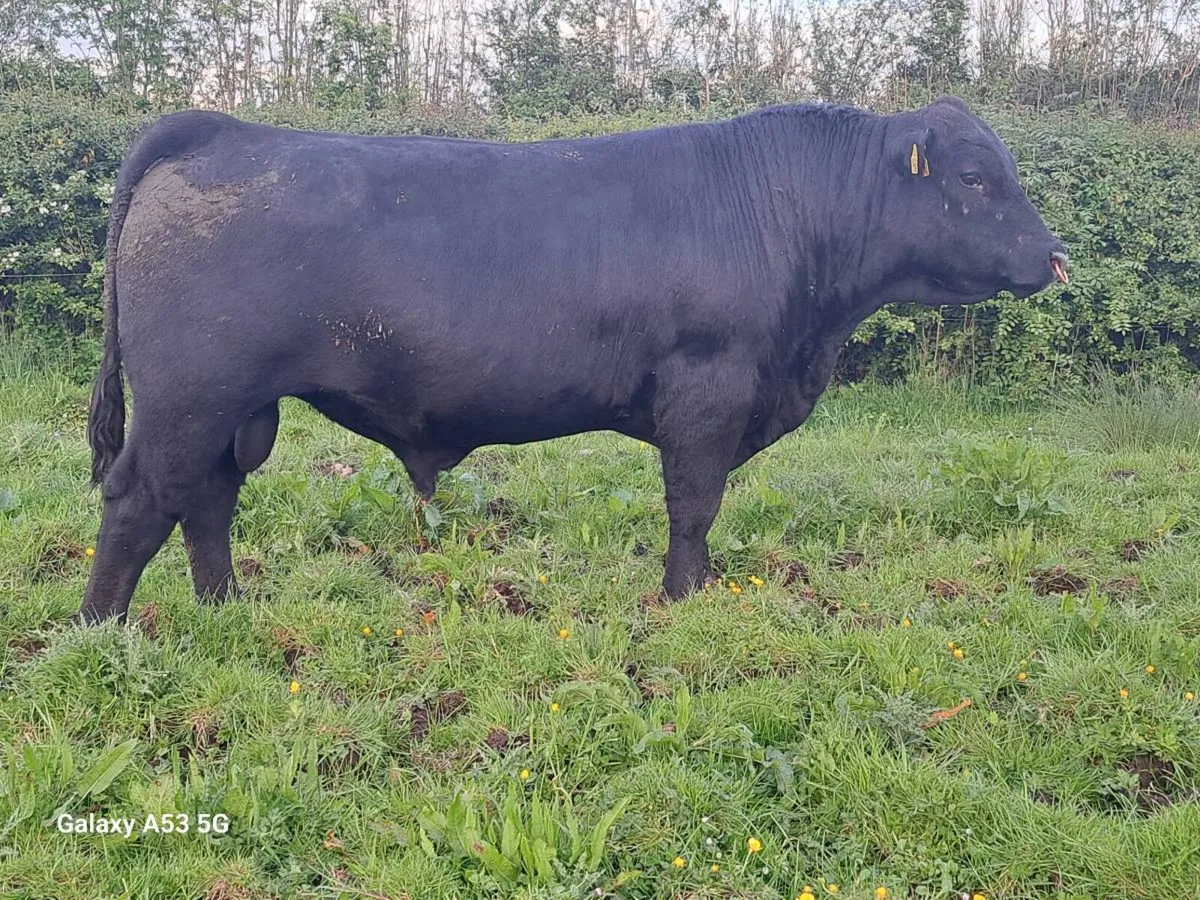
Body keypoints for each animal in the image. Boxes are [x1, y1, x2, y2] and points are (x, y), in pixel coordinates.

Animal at [79, 96, 1068, 622]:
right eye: (976, 179)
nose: (1055, 256)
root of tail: (225, 129)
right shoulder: (708, 389)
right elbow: (695, 506)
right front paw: (683, 601)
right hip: (191, 397)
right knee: (140, 498)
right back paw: (100, 630)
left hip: (235, 409)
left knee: (205, 497)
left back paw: (226, 607)